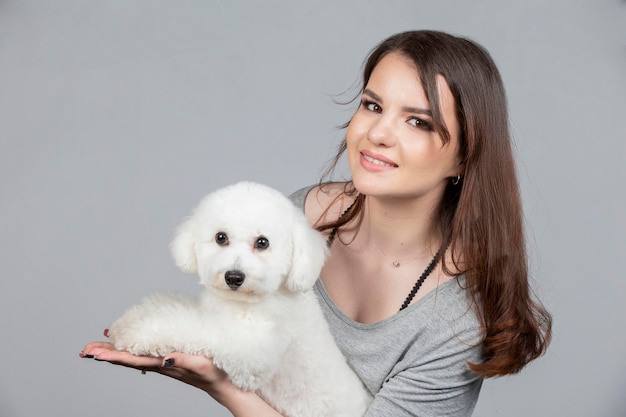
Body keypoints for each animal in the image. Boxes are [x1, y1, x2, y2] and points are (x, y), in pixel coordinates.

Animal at [107, 181, 370, 416]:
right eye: (220, 237)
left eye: (262, 242)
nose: (234, 277)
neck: (244, 302)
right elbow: (173, 306)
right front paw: (130, 320)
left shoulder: (249, 350)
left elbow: (192, 327)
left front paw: (140, 333)